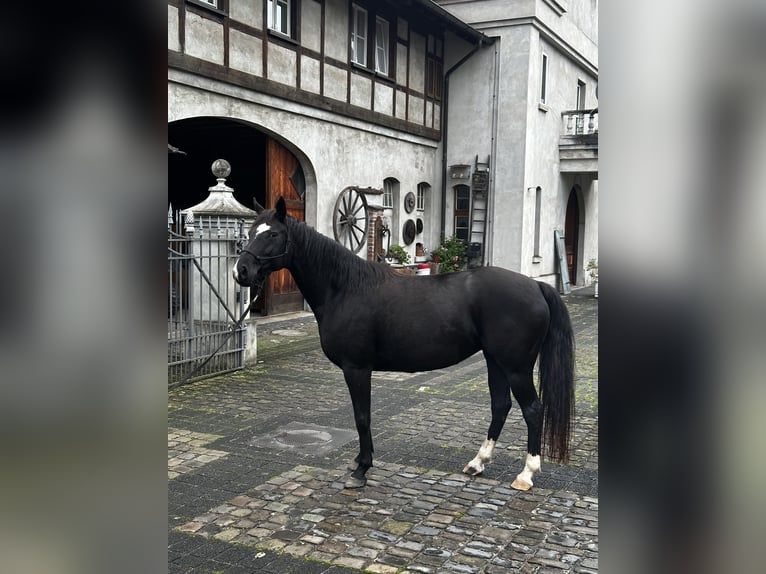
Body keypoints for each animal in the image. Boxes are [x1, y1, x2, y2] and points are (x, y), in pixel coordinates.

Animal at [236, 198, 576, 490]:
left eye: (273, 234)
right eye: (251, 232)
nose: (242, 271)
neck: (345, 288)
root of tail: (536, 285)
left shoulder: (356, 368)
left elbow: (362, 417)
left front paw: (361, 469)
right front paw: (360, 463)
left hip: (516, 367)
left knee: (532, 409)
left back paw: (526, 474)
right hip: (495, 361)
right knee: (500, 406)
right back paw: (478, 462)